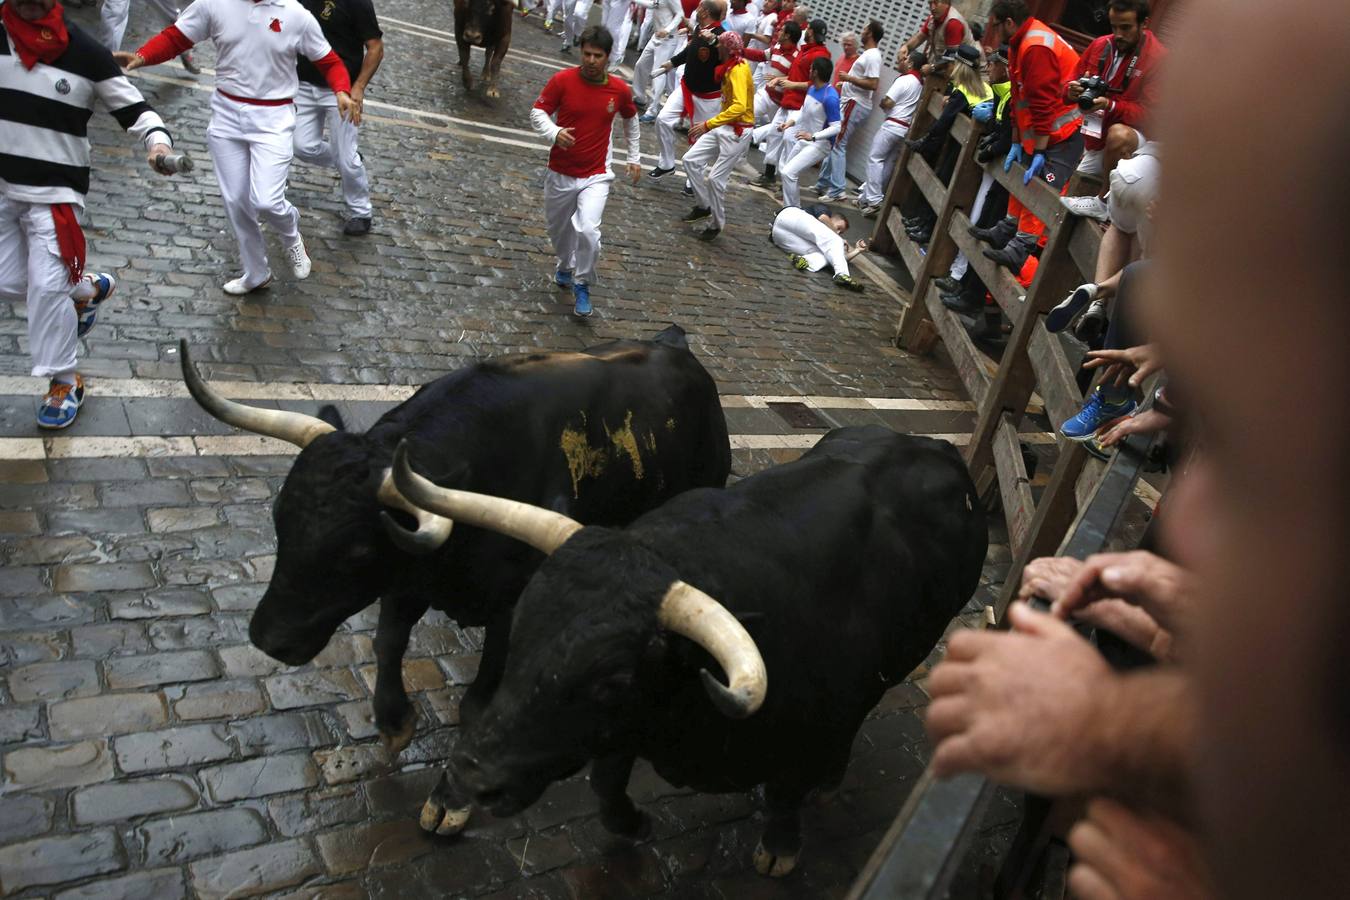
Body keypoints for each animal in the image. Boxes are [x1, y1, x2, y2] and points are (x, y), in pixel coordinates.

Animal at [180, 323, 734, 755]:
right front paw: (394, 721)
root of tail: (676, 345)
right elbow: (388, 641)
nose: (268, 639)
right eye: (279, 517)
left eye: (357, 550)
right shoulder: (407, 572)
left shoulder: (509, 602)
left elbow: (479, 697)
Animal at [394, 426, 988, 874]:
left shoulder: (819, 720)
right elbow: (606, 786)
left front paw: (781, 844)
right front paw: (634, 824)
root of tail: (930, 443)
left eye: (610, 681)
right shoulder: (626, 728)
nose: (472, 776)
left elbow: (789, 790)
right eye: (518, 628)